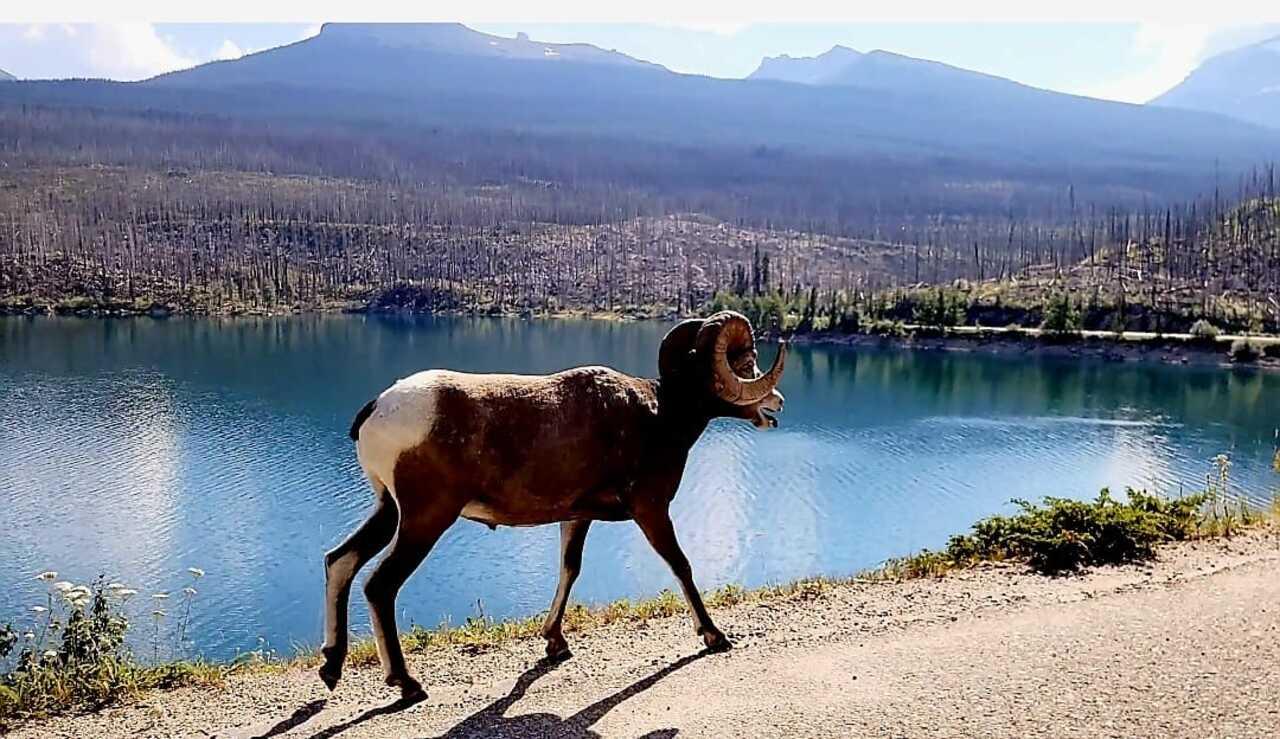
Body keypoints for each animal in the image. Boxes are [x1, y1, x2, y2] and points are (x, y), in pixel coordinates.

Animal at [319, 310, 787, 699]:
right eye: (745, 362)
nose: (776, 403)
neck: (660, 416)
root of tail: (378, 409)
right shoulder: (650, 510)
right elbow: (681, 566)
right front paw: (714, 636)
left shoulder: (577, 518)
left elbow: (569, 570)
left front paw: (555, 644)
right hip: (425, 520)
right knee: (380, 585)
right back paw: (406, 684)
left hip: (390, 512)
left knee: (340, 561)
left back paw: (332, 667)